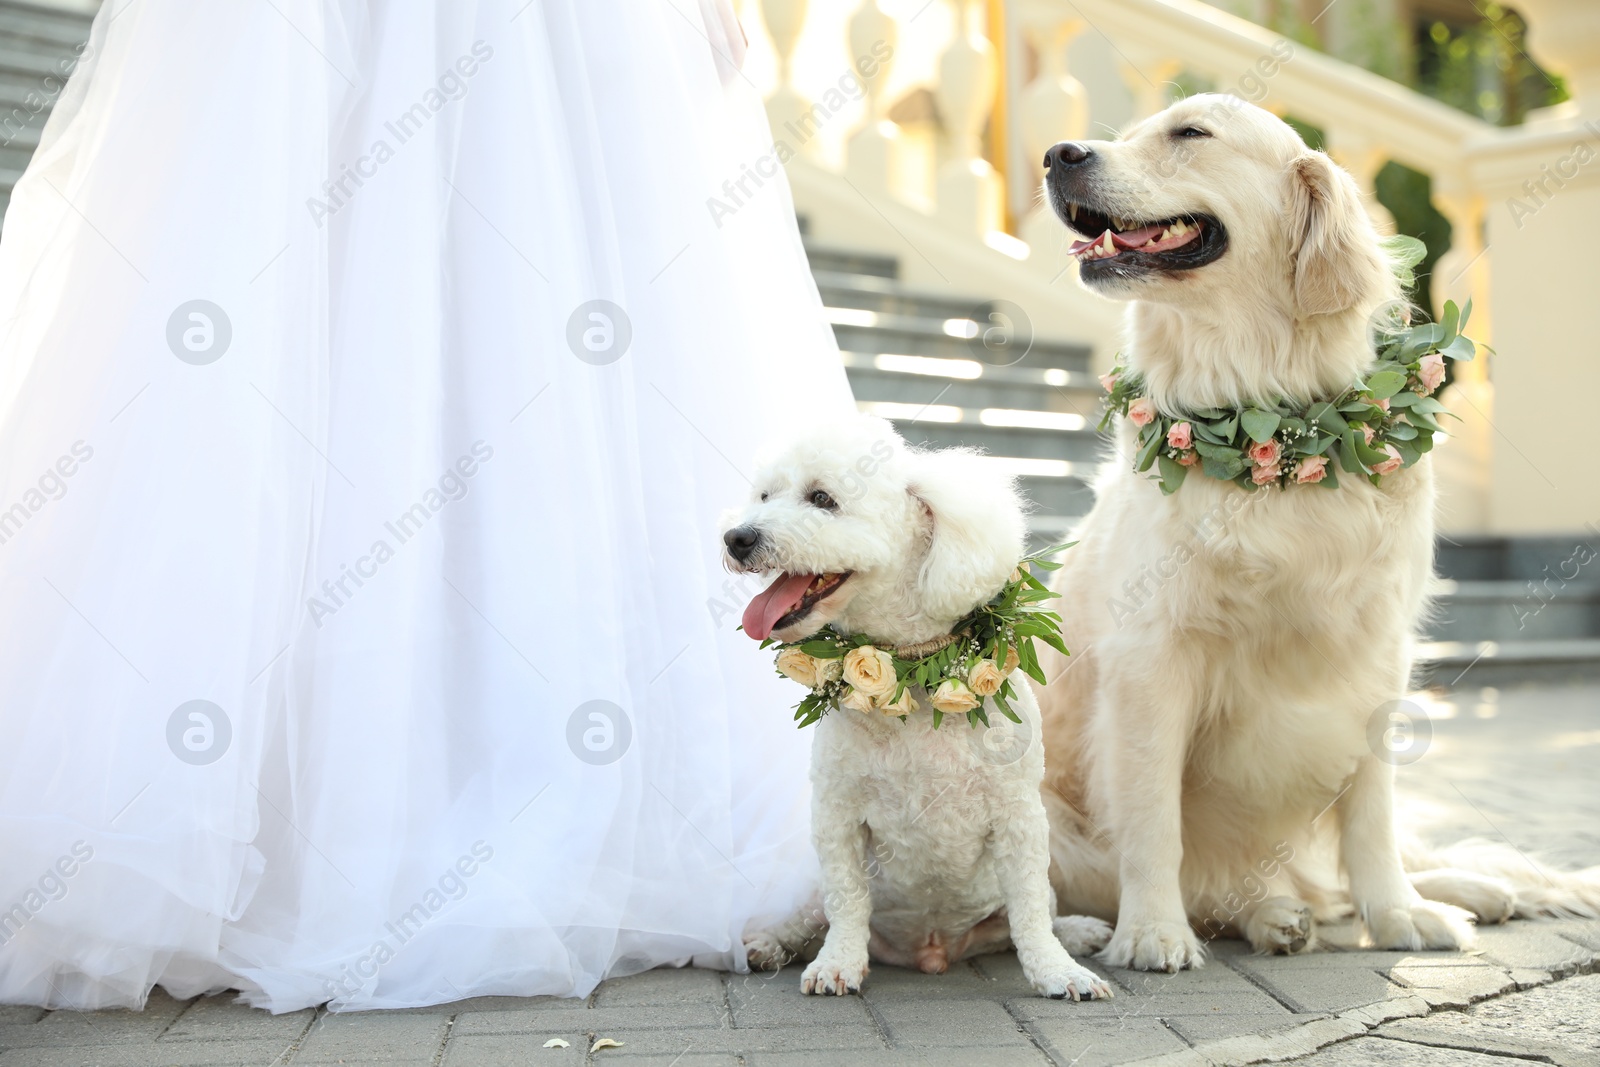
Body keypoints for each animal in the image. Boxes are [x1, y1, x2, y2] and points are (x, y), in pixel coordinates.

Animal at [723, 412, 1113, 998]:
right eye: (765, 495)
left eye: (822, 498)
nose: (737, 537)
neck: (914, 677)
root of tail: (932, 950)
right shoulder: (836, 814)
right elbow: (847, 901)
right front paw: (837, 964)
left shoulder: (1020, 815)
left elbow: (1028, 913)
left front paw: (1058, 970)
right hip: (812, 890)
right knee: (810, 919)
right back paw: (770, 944)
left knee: (1035, 914)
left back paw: (1080, 931)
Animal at [1030, 95, 1593, 972]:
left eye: (1190, 134)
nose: (1058, 155)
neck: (1275, 419)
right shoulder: (1151, 656)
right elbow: (1153, 818)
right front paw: (1153, 931)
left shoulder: (1378, 652)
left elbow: (1372, 818)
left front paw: (1399, 914)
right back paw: (1189, 921)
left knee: (1359, 868)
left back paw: (1458, 890)